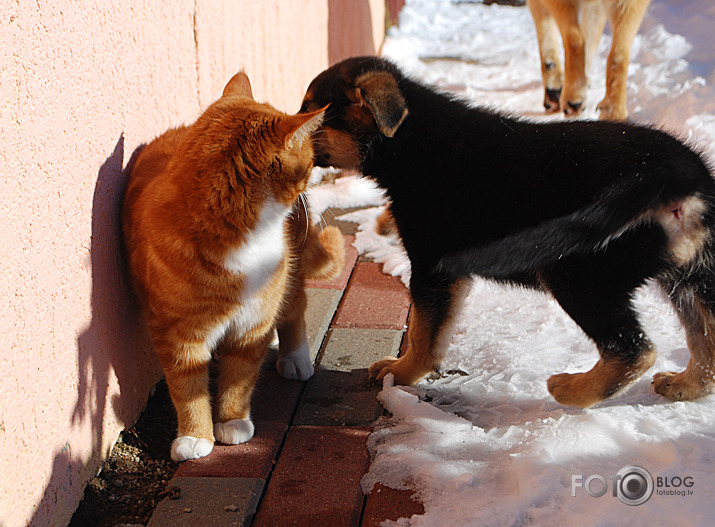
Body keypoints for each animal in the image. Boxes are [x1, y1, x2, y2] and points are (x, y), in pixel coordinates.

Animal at [123, 73, 344, 462]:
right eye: (307, 162)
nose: (313, 178)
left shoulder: (252, 325)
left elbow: (239, 379)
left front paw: (232, 422)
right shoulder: (177, 334)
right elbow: (187, 388)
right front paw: (195, 435)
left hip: (289, 275)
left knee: (295, 309)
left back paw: (296, 357)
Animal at [300, 56, 715, 408]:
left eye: (311, 111)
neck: (409, 142)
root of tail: (675, 173)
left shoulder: (432, 269)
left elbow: (422, 332)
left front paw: (401, 372)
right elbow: (430, 329)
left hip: (578, 272)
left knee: (634, 349)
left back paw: (572, 390)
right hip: (690, 274)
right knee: (704, 338)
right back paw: (685, 385)